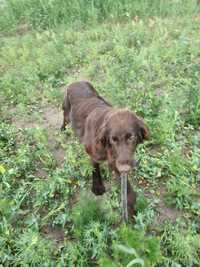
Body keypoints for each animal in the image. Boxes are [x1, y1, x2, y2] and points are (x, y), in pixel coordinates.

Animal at [61, 81, 149, 218]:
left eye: (131, 137)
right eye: (113, 139)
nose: (125, 168)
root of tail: (76, 82)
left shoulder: (116, 161)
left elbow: (126, 187)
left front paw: (131, 205)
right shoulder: (95, 154)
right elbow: (95, 167)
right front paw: (97, 186)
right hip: (66, 109)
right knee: (65, 118)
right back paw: (63, 129)